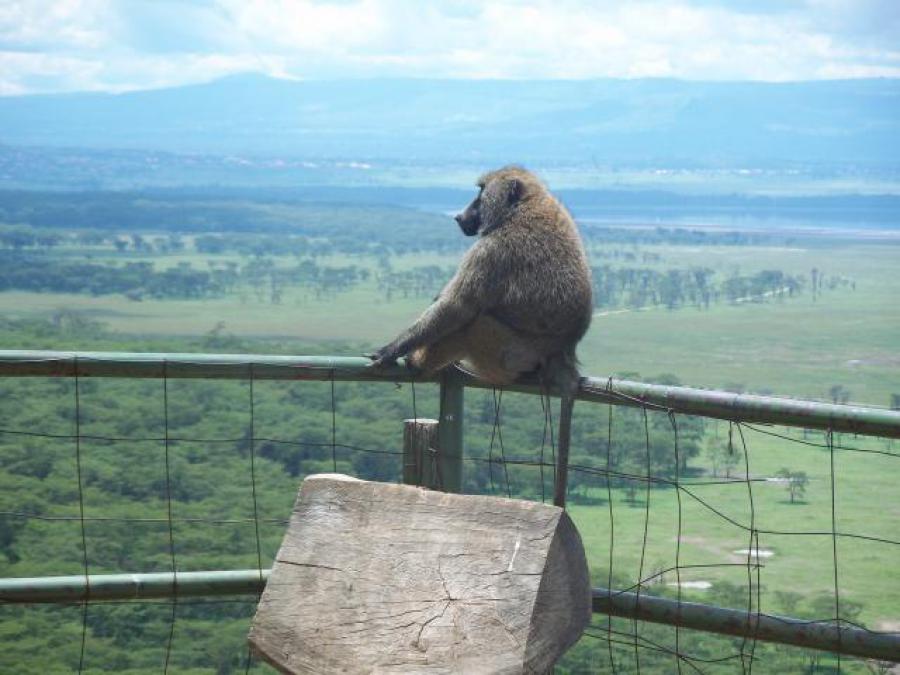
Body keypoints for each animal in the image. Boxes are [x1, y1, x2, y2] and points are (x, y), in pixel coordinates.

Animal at [369, 166, 593, 508]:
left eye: (480, 193)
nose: (459, 216)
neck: (523, 205)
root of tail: (562, 353)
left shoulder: (494, 249)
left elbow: (456, 307)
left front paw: (391, 349)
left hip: (507, 355)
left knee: (471, 324)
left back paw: (419, 363)